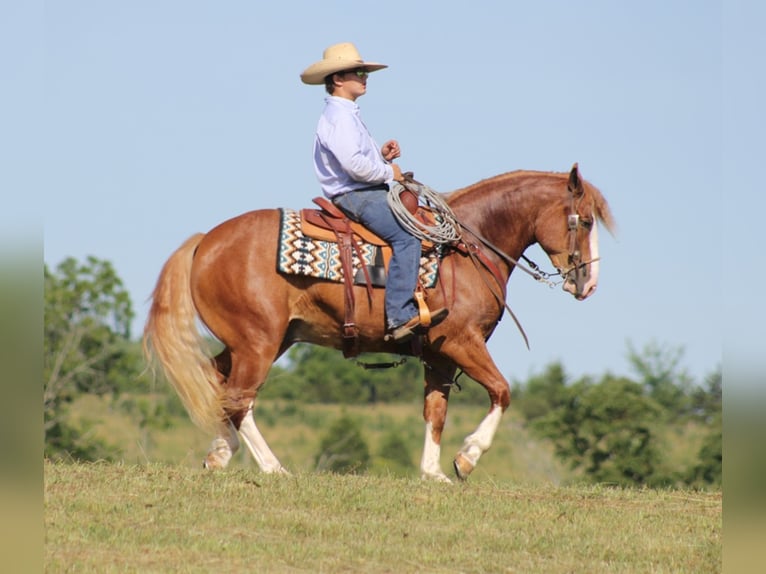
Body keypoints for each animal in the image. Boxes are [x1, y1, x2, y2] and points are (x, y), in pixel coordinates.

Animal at [144, 164, 616, 484]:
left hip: (263, 341)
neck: (465, 248)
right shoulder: (461, 341)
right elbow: (501, 391)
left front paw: (432, 472)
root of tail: (205, 241)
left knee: (219, 383)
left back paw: (219, 453)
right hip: (258, 341)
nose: (589, 283)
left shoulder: (439, 355)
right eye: (584, 220)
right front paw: (466, 458)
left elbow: (435, 410)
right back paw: (273, 468)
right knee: (240, 399)